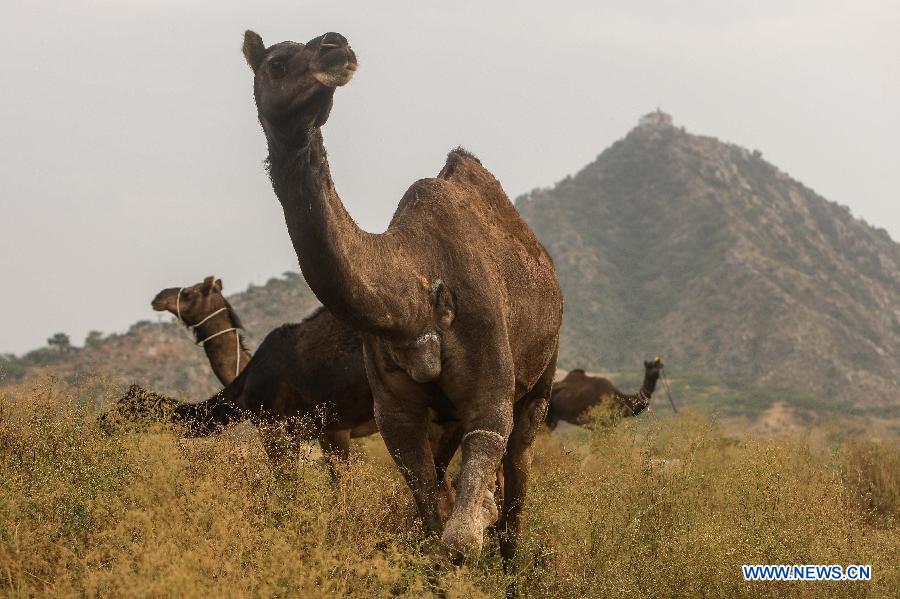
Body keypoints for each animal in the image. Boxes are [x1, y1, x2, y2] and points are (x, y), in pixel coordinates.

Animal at [241, 29, 564, 564]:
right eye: (277, 63)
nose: (336, 45)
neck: (412, 300)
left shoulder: (489, 401)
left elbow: (460, 536)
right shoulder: (394, 416)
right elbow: (430, 516)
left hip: (541, 376)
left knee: (518, 473)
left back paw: (512, 561)